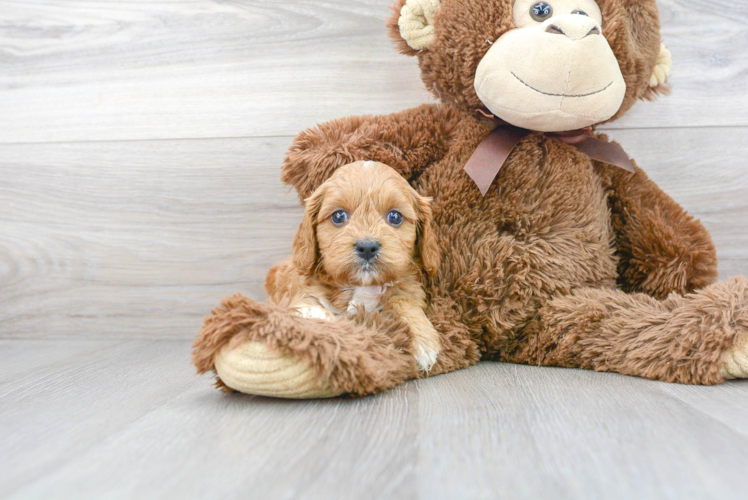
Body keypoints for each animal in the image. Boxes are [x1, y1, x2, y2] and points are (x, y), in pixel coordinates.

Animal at [266, 160, 442, 372]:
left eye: (395, 217)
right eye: (338, 216)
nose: (367, 247)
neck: (360, 285)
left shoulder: (410, 289)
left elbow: (404, 302)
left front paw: (424, 341)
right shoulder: (298, 290)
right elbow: (309, 306)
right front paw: (324, 326)